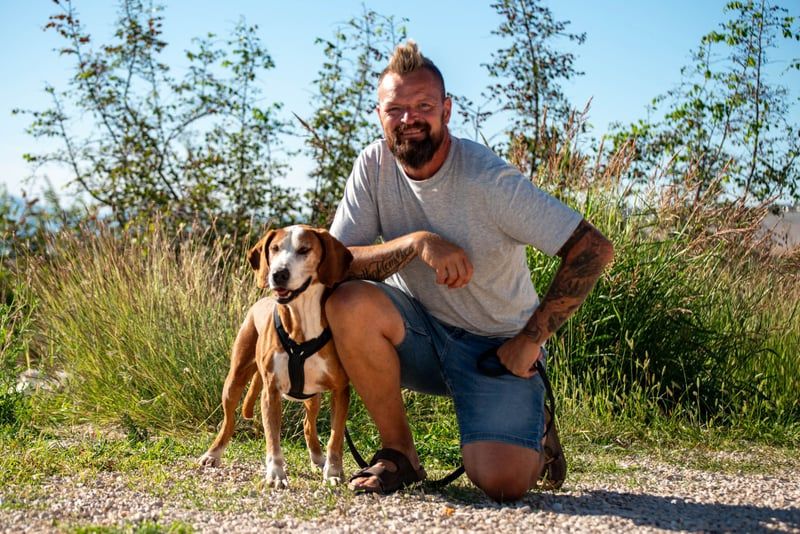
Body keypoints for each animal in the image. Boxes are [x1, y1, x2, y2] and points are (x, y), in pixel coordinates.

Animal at [199, 225, 353, 487]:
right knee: (228, 421)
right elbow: (273, 438)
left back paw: (317, 459)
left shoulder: (340, 389)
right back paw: (213, 453)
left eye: (304, 250)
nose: (278, 274)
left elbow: (336, 438)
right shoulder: (270, 391)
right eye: (274, 249)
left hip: (312, 396)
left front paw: (332, 472)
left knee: (308, 425)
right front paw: (275, 474)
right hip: (234, 380)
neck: (301, 325)